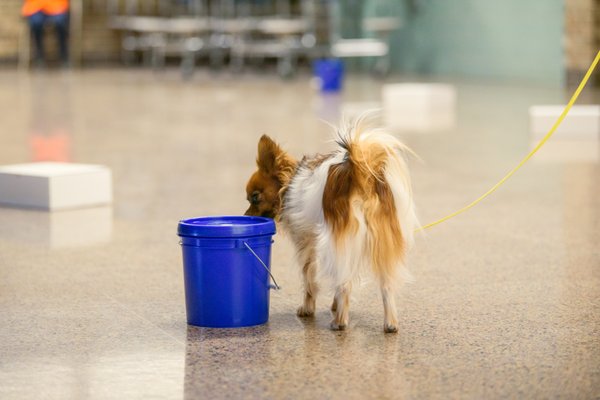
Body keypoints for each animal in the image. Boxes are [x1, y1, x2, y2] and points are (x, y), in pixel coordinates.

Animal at [244, 116, 418, 334]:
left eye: (255, 198)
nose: (244, 216)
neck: (290, 184)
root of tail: (362, 174)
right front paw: (334, 305)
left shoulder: (307, 244)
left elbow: (310, 280)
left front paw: (308, 308)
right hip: (381, 241)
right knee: (386, 285)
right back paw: (390, 323)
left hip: (339, 239)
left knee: (344, 284)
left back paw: (340, 322)